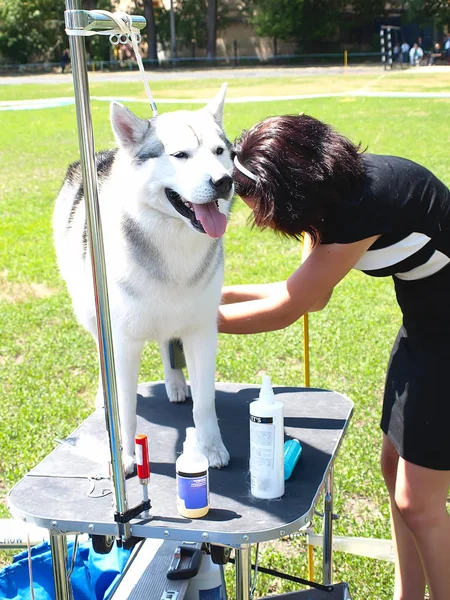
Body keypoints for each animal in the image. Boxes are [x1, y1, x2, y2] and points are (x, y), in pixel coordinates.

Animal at [53, 84, 232, 474]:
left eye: (220, 152)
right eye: (180, 155)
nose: (224, 181)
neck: (172, 244)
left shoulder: (202, 331)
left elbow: (206, 403)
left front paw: (210, 448)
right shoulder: (121, 340)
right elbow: (126, 409)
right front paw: (124, 455)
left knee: (168, 344)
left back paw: (175, 383)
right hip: (90, 311)